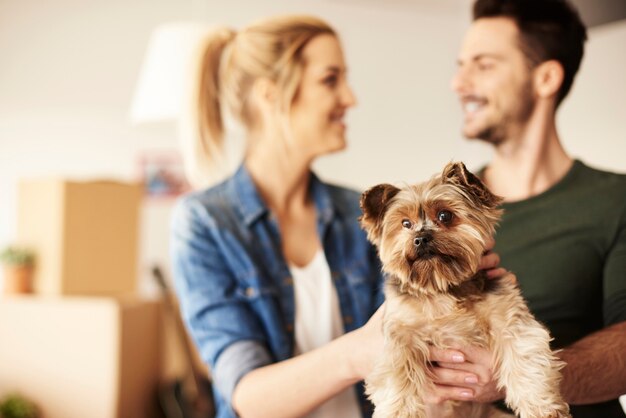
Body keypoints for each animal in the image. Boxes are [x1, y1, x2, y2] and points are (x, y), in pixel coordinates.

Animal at [358, 162, 568, 418]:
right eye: (405, 224)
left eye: (444, 215)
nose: (421, 238)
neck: (443, 285)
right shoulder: (400, 332)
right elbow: (398, 373)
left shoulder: (508, 316)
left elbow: (525, 356)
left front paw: (542, 408)